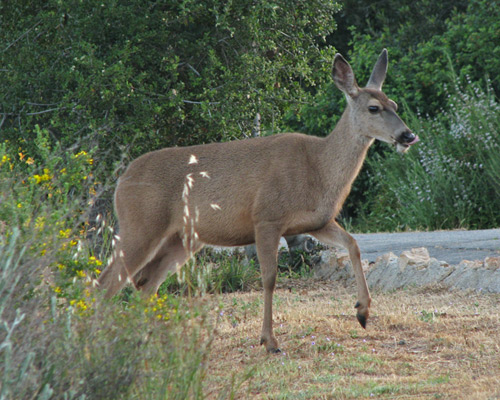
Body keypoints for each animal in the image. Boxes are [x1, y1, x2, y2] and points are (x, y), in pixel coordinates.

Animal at [97, 48, 418, 352]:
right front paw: (269, 341)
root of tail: (121, 181)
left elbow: (353, 244)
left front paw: (362, 311)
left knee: (144, 283)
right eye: (374, 108)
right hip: (141, 224)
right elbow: (269, 278)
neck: (318, 168)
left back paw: (142, 340)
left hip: (182, 239)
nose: (408, 135)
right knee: (106, 282)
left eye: (395, 105)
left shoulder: (315, 222)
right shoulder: (266, 217)